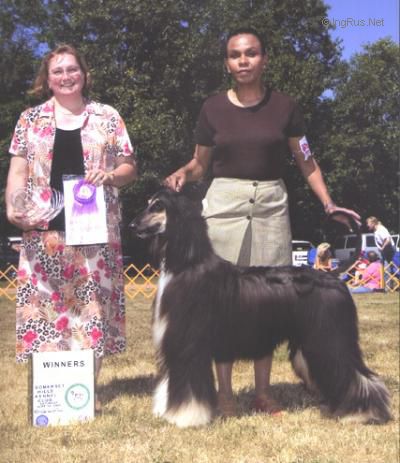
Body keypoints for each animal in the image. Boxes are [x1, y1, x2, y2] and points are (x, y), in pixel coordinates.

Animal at [130, 187, 392, 428]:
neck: (187, 264)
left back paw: (363, 413)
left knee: (357, 374)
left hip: (329, 337)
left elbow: (188, 387)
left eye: (157, 206)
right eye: (149, 203)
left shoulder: (188, 344)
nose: (132, 225)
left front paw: (186, 418)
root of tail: (332, 275)